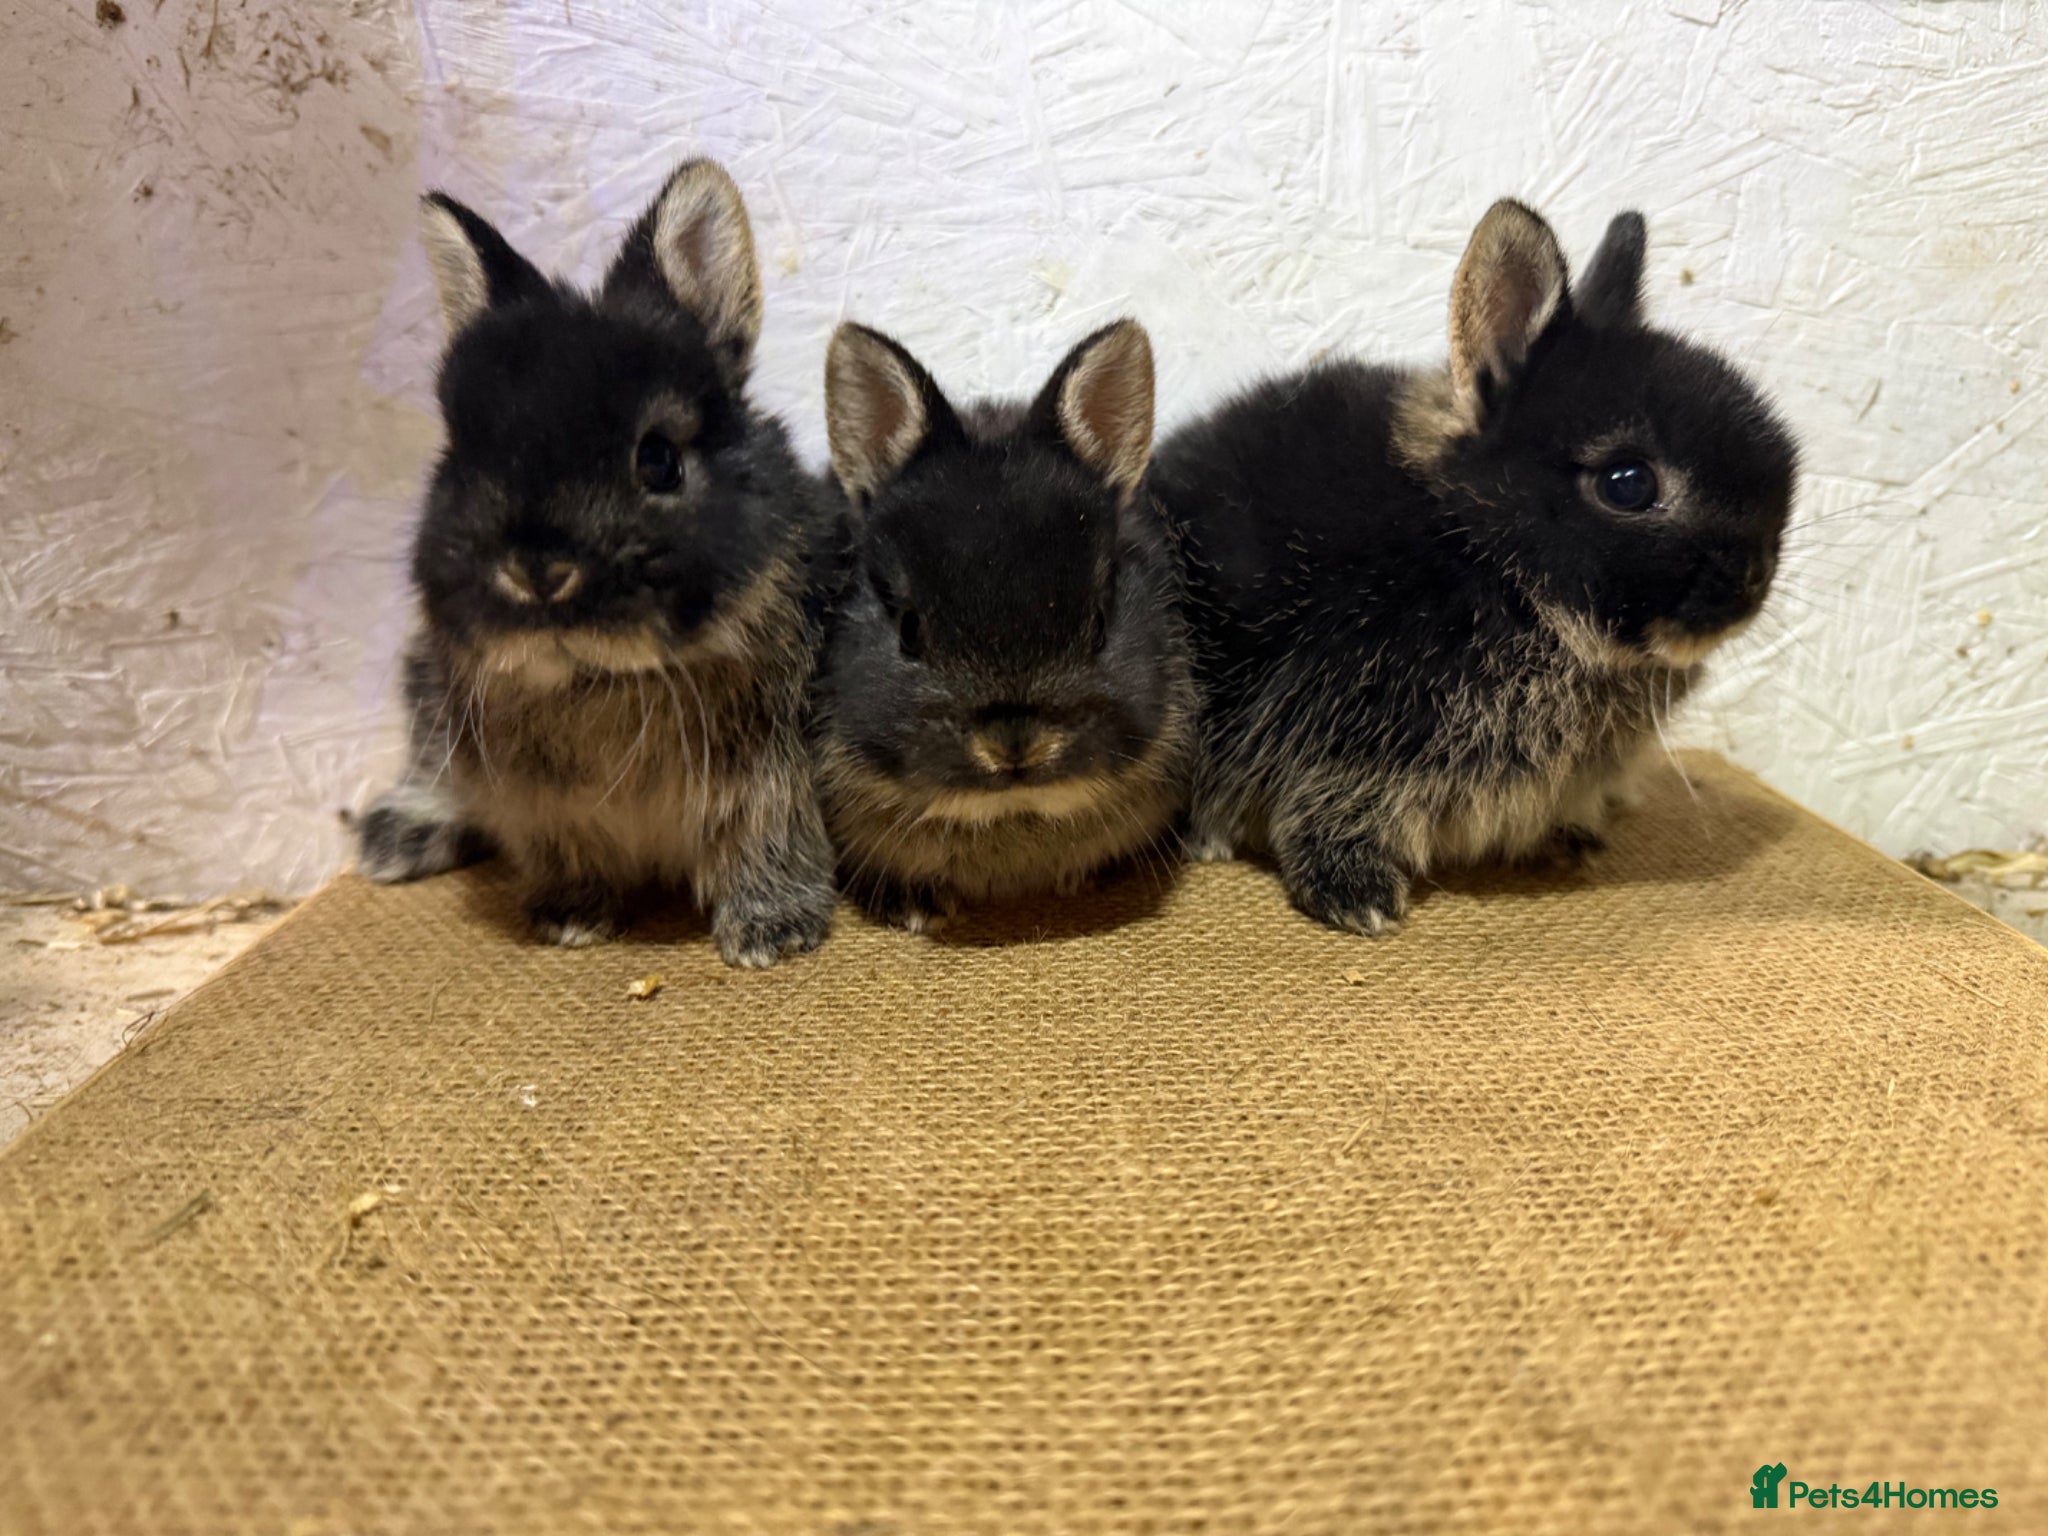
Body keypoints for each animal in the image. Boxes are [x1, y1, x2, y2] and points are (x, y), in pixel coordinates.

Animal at [354, 159, 837, 966]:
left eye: (660, 459)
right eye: (461, 457)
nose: (538, 571)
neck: (603, 679)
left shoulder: (772, 781)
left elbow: (763, 840)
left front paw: (772, 932)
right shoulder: (539, 805)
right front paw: (571, 918)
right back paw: (396, 839)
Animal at [1150, 199, 1798, 936]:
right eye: (1628, 483)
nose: (1752, 581)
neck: (1493, 561)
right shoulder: (1360, 729)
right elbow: (1336, 807)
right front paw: (1358, 899)